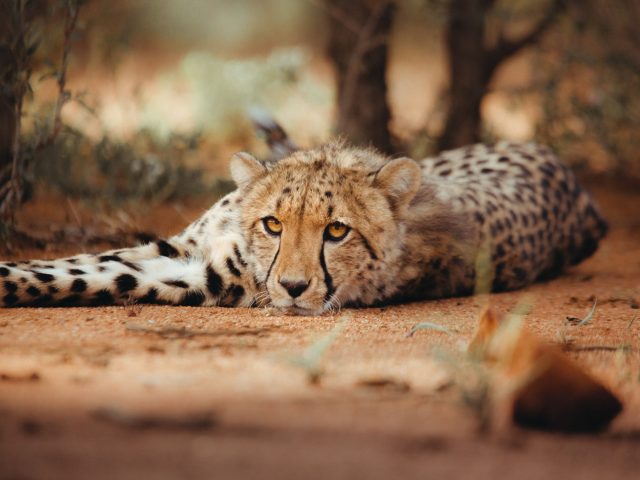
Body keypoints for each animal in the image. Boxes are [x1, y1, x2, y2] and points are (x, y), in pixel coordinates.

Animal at [0, 125, 607, 315]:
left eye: (337, 230)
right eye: (273, 223)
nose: (292, 288)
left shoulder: (203, 278)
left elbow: (83, 277)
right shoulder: (180, 249)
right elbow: (71, 265)